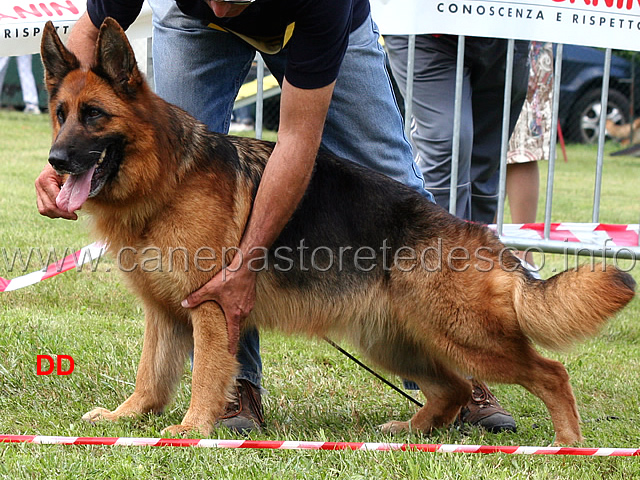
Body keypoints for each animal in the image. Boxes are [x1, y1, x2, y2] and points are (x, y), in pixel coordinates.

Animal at [41, 18, 636, 446]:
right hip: (392, 340)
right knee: (451, 388)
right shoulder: (165, 313)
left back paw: (568, 445)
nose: (55, 163)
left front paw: (192, 430)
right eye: (61, 114)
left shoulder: (211, 309)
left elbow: (207, 374)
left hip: (466, 337)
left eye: (94, 116)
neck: (168, 176)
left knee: (550, 373)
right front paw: (127, 417)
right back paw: (413, 432)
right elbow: (151, 375)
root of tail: (482, 236)